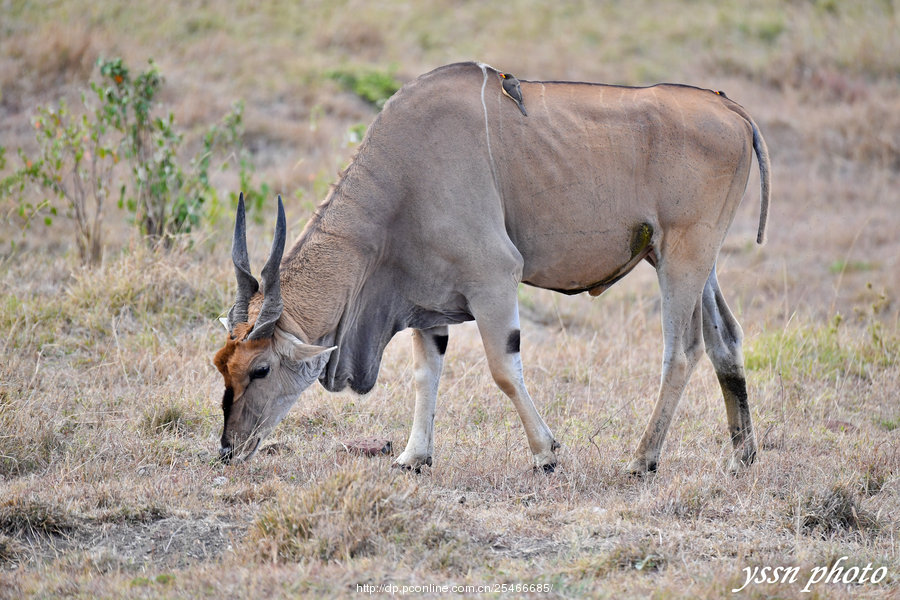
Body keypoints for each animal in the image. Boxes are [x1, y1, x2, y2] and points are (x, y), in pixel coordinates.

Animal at [213, 62, 772, 474]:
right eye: (222, 366)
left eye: (260, 369)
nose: (228, 449)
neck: (404, 171)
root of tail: (732, 108)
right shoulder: (426, 303)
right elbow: (426, 373)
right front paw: (414, 457)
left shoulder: (494, 279)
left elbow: (504, 368)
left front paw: (546, 453)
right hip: (692, 262)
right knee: (726, 338)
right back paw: (742, 455)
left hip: (682, 259)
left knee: (682, 352)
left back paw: (641, 459)